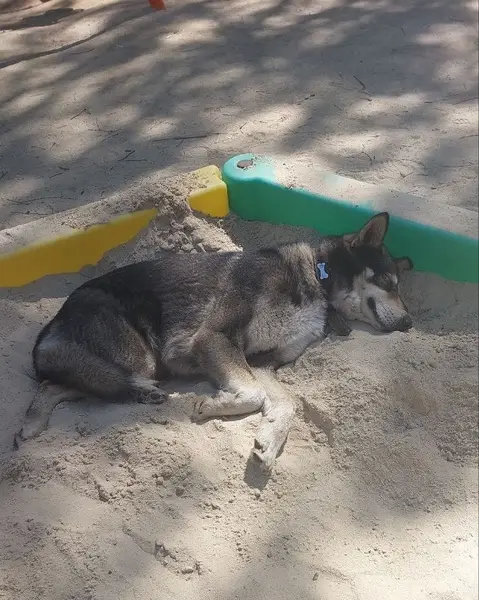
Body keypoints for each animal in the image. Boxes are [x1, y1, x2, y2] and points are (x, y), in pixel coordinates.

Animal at [17, 212, 412, 469]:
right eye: (389, 282)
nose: (410, 323)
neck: (317, 279)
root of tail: (54, 321)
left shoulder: (263, 363)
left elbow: (285, 403)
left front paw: (270, 440)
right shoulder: (215, 338)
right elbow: (252, 394)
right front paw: (215, 405)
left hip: (133, 363)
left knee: (61, 382)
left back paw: (32, 425)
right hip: (138, 356)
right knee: (69, 378)